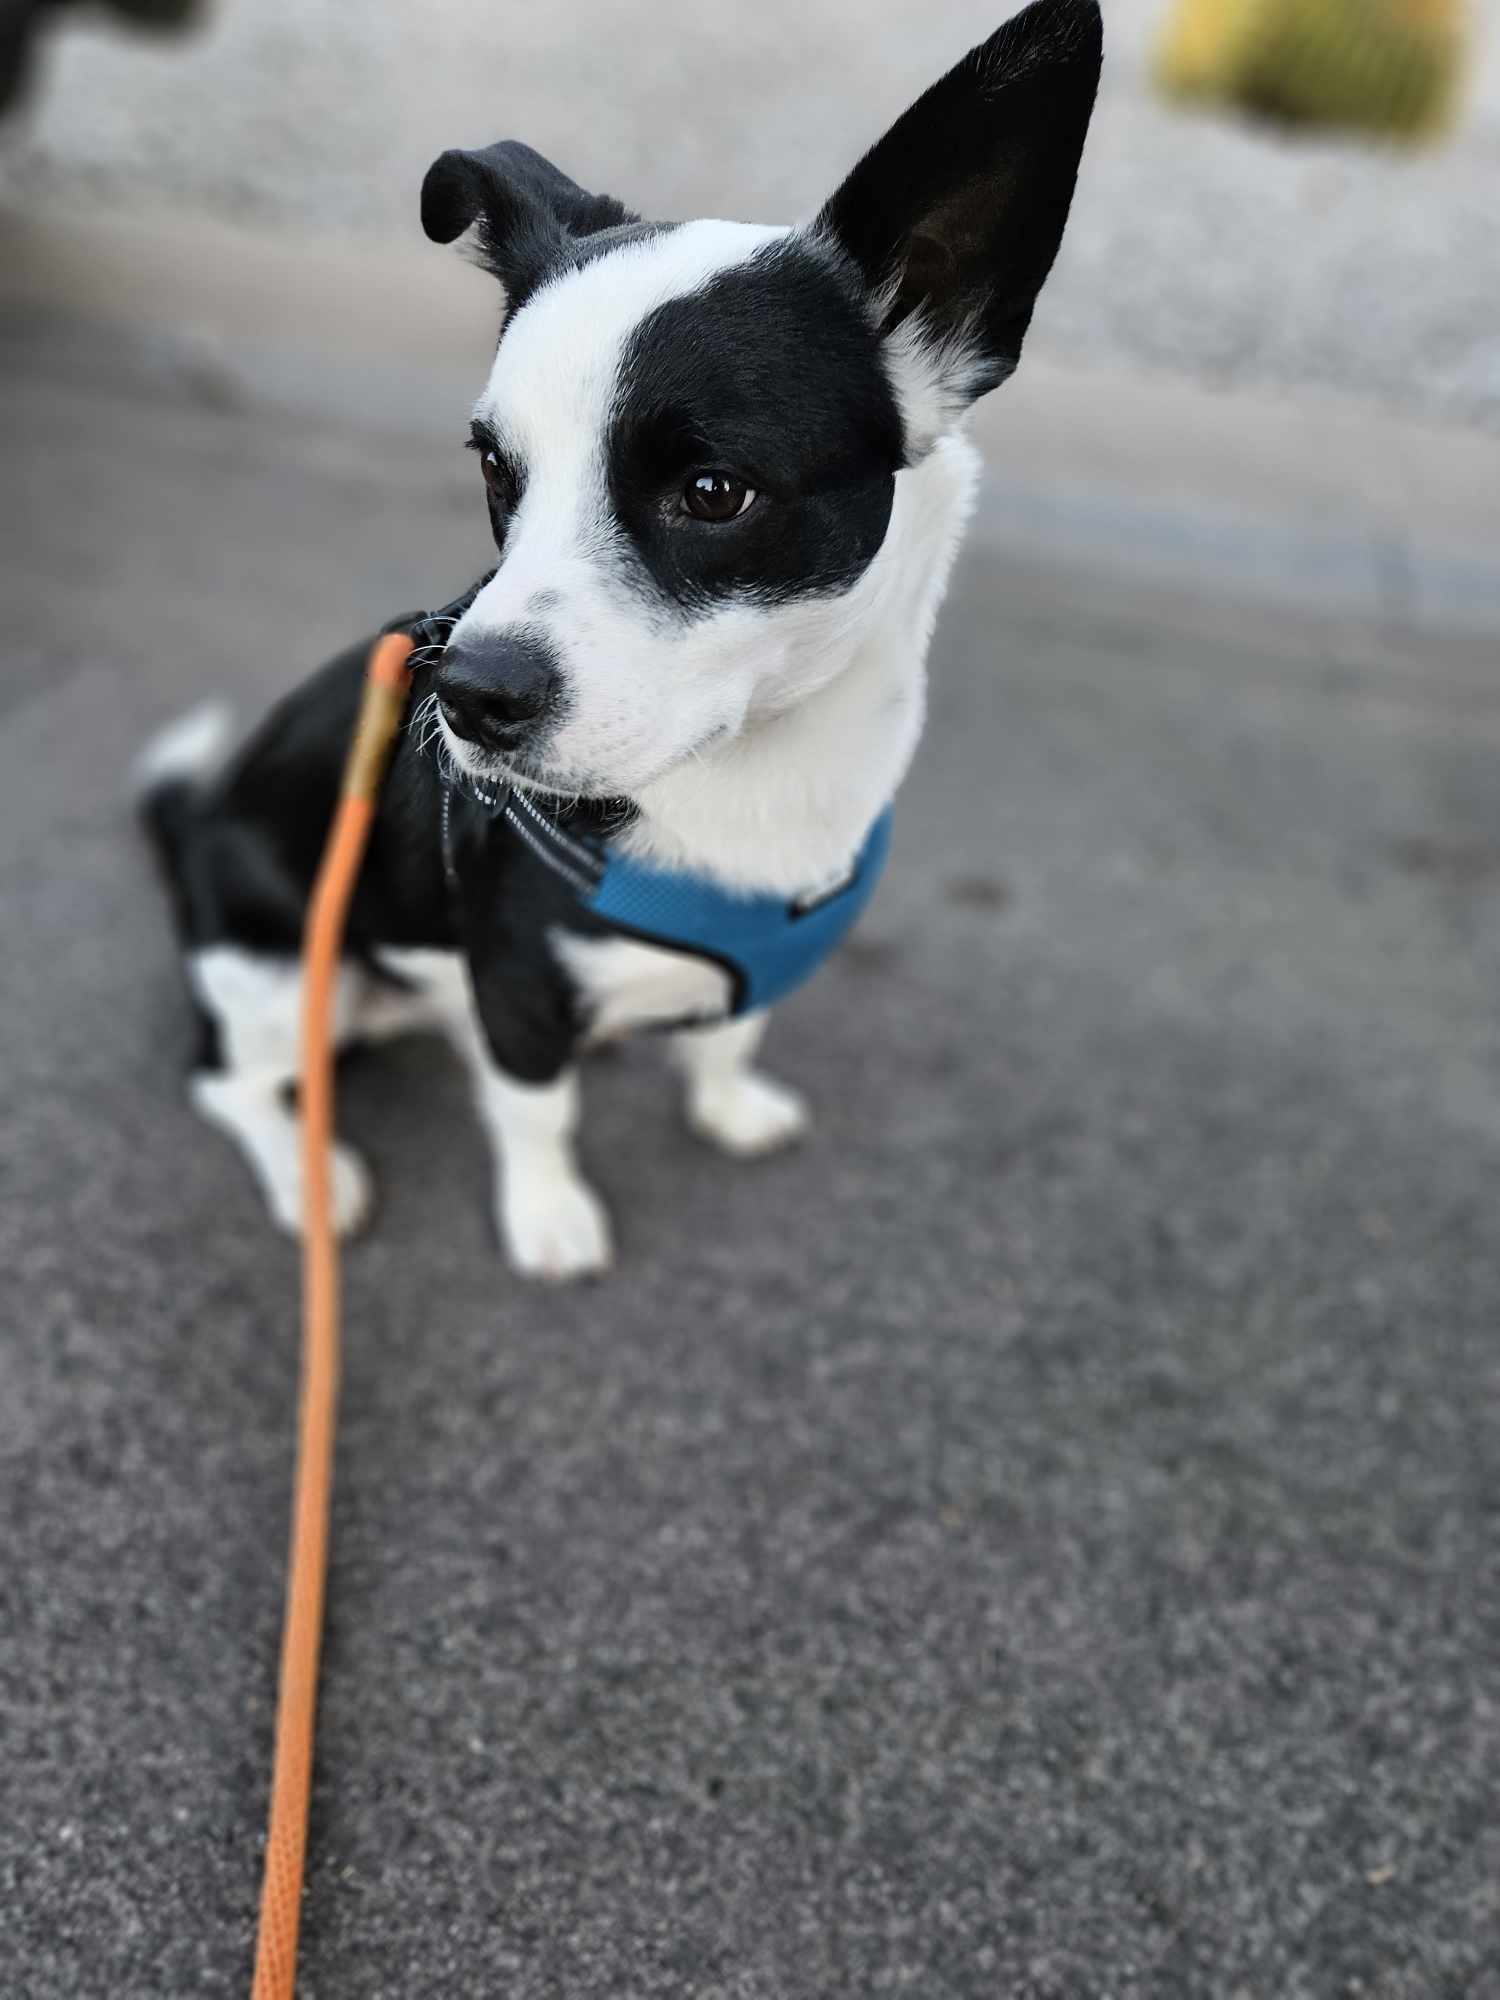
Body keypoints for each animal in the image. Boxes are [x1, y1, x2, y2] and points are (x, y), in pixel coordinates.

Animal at [138, 0, 1104, 1280]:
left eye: (713, 490)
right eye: (496, 471)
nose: (468, 693)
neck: (752, 778)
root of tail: (195, 830)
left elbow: (730, 1037)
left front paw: (727, 1105)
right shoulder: (517, 987)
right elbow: (537, 1110)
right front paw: (550, 1216)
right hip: (277, 964)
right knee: (235, 1081)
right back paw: (315, 1176)